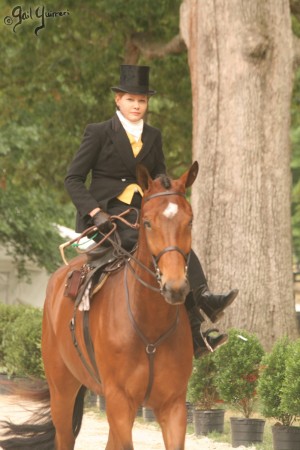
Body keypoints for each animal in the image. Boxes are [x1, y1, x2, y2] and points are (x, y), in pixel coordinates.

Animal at [0, 163, 199, 450]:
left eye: (190, 221)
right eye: (147, 222)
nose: (175, 287)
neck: (149, 326)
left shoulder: (173, 406)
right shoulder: (118, 401)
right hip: (62, 391)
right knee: (64, 436)